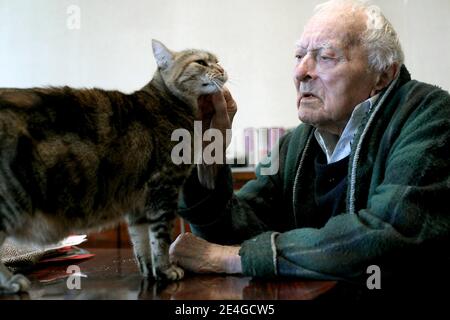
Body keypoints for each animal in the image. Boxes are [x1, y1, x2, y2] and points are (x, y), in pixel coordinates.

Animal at [0, 39, 225, 292]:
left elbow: (141, 244)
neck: (173, 105)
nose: (222, 69)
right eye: (201, 62)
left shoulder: (138, 206)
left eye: (217, 60)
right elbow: (161, 239)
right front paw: (166, 270)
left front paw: (150, 273)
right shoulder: (163, 189)